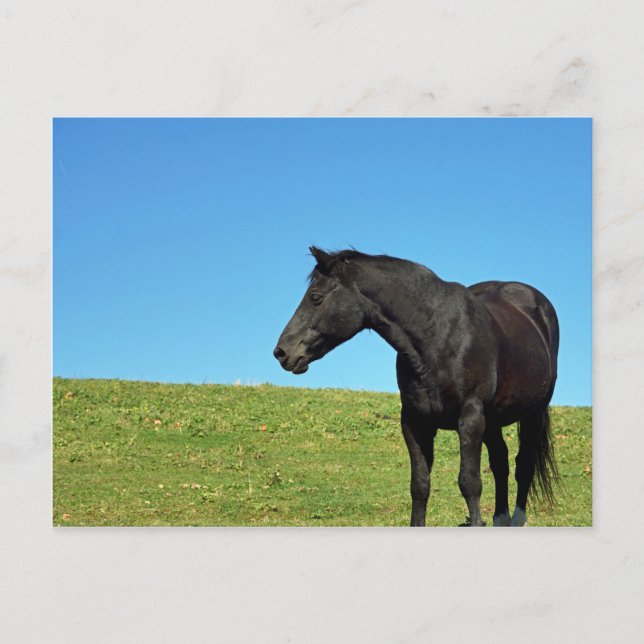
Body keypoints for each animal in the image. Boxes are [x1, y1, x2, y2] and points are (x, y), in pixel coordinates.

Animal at [273, 247, 560, 527]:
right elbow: (420, 485)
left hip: (532, 413)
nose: (282, 352)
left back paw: (516, 519)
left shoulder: (470, 418)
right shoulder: (414, 421)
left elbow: (469, 482)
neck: (436, 338)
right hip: (493, 420)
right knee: (500, 462)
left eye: (316, 297)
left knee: (524, 465)